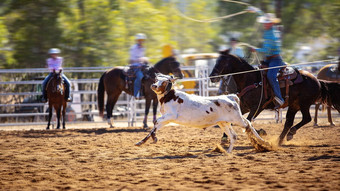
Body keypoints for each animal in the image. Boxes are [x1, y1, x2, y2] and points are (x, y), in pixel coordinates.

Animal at [210, 50, 340, 145]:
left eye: (222, 62)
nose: (212, 77)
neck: (251, 80)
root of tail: (317, 80)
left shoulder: (257, 107)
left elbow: (248, 121)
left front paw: (260, 132)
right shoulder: (245, 106)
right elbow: (234, 120)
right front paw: (225, 138)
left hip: (304, 104)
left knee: (306, 118)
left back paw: (290, 133)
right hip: (294, 105)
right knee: (288, 122)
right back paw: (280, 139)